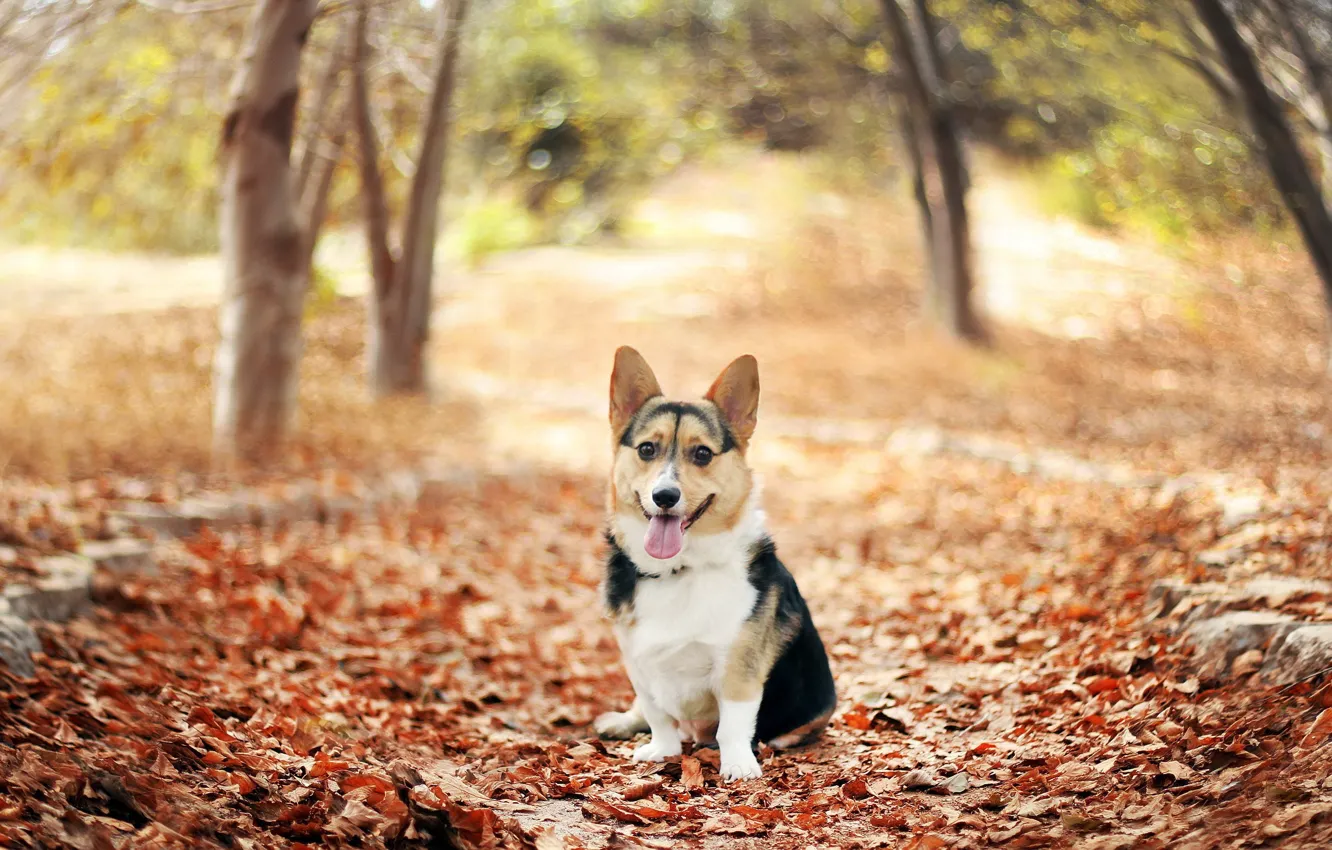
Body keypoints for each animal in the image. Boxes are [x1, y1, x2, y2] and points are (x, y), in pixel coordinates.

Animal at [594, 349, 831, 783]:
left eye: (702, 453)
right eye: (647, 449)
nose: (665, 496)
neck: (678, 569)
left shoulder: (738, 666)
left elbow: (733, 724)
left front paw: (738, 764)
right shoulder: (638, 662)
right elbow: (657, 715)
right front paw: (662, 750)